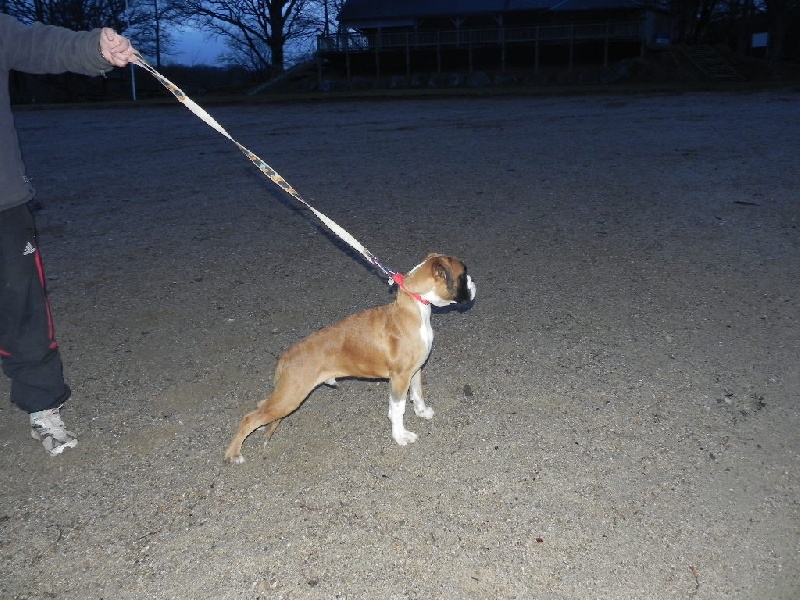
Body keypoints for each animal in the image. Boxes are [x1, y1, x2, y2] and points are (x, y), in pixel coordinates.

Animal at [223, 253, 476, 464]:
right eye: (463, 274)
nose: (474, 283)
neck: (413, 308)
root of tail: (286, 356)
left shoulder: (414, 372)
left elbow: (417, 395)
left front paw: (422, 413)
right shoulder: (399, 378)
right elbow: (397, 410)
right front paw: (400, 436)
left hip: (285, 397)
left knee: (260, 407)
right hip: (290, 397)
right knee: (249, 418)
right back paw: (233, 454)